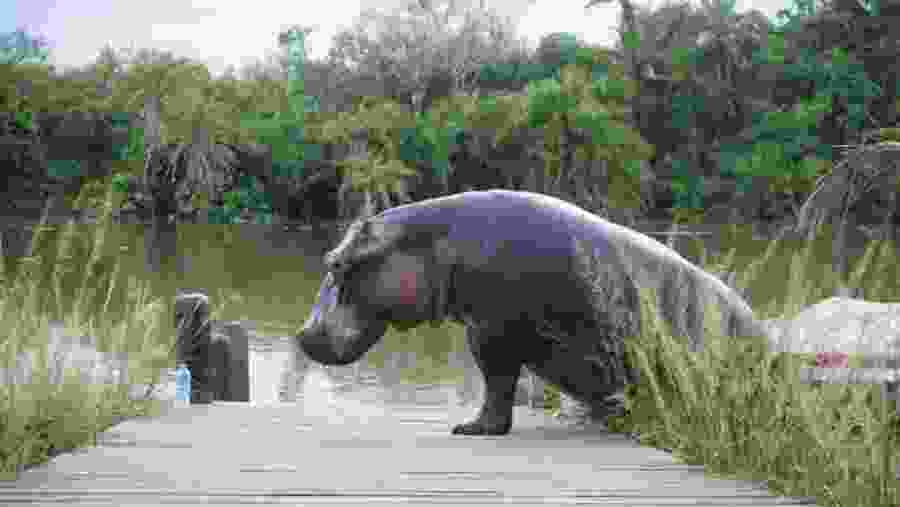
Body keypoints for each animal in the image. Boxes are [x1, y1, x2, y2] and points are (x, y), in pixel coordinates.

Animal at [298, 190, 768, 435]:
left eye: (336, 264)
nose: (301, 334)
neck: (432, 242)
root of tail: (765, 338)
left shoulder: (488, 333)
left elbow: (496, 385)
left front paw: (470, 429)